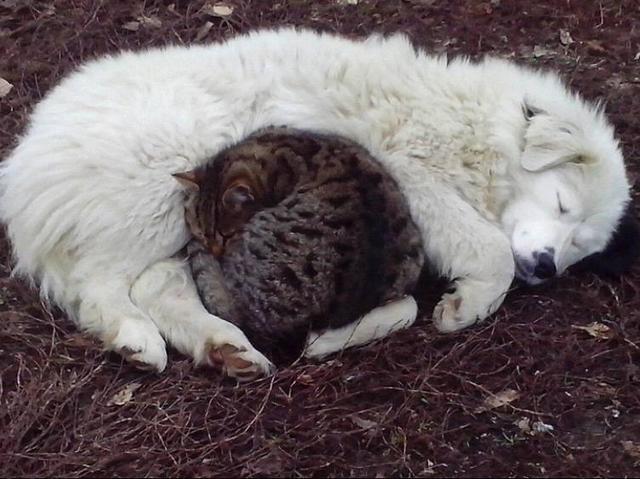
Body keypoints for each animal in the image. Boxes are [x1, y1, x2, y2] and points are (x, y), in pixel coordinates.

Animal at [0, 28, 636, 380]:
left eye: (580, 246)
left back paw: (225, 349)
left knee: (159, 285)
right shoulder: (413, 179)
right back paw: (136, 339)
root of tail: (28, 158)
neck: (472, 126)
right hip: (155, 192)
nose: (548, 268)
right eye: (562, 203)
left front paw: (336, 338)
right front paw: (468, 306)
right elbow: (490, 252)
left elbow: (405, 307)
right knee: (99, 285)